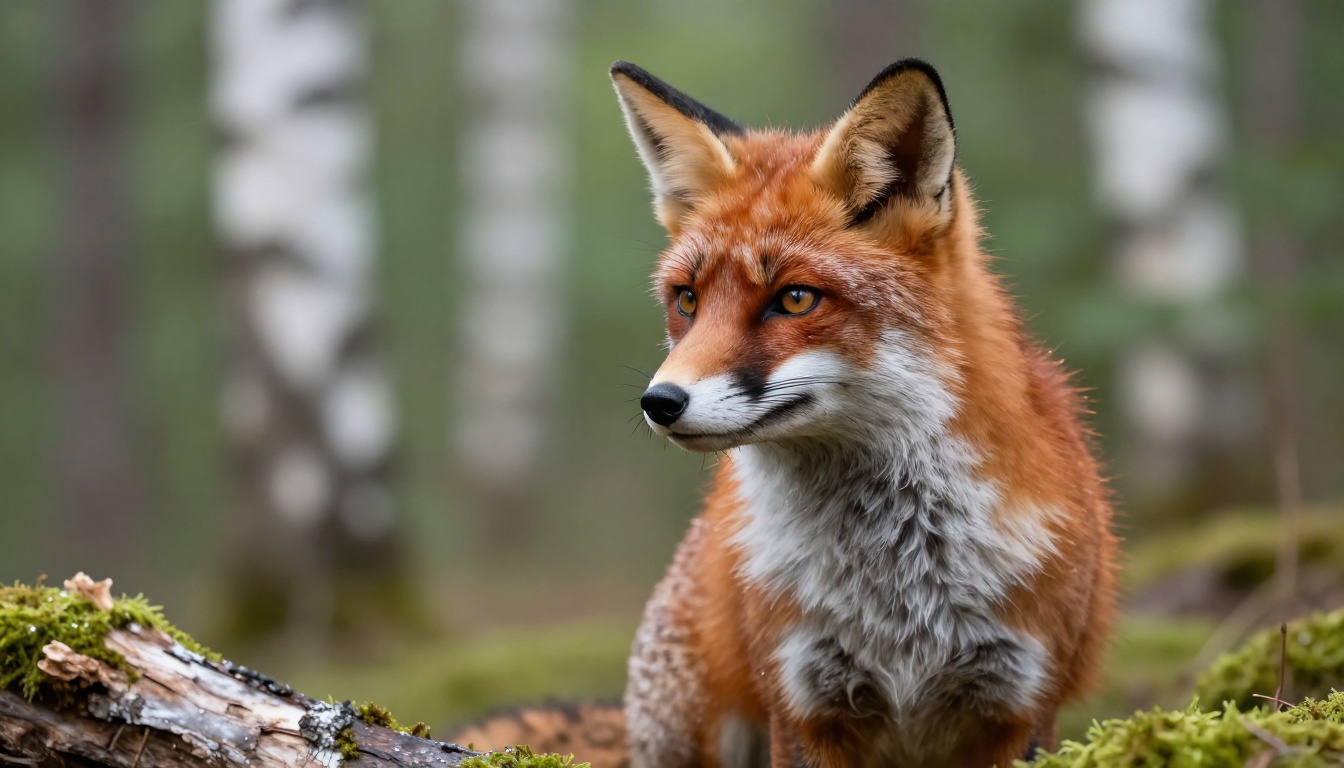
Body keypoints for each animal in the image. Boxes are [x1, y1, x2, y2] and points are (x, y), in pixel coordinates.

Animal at [453, 59, 1118, 768]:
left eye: (795, 299)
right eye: (687, 300)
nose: (660, 402)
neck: (898, 588)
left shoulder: (1020, 703)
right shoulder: (802, 701)